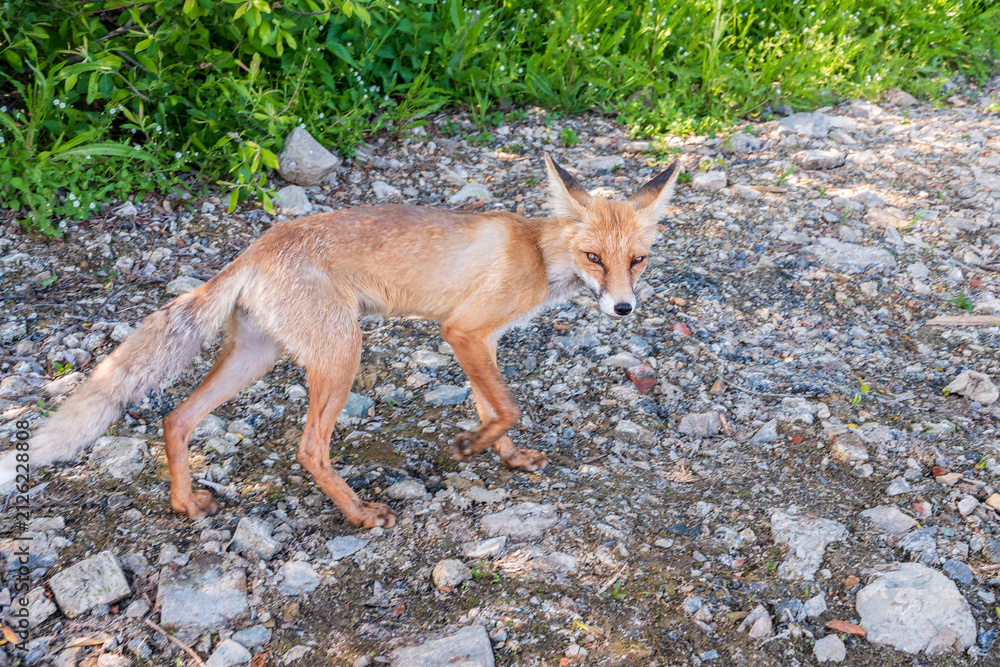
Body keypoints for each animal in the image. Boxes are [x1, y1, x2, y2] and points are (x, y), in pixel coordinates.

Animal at [0, 153, 680, 529]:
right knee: (308, 450)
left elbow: (494, 408)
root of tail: (255, 248)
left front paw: (506, 457)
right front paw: (469, 448)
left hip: (256, 358)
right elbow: (507, 407)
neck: (538, 255)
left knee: (177, 417)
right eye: (594, 258)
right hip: (341, 354)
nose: (623, 308)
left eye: (638, 261)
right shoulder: (462, 331)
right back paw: (358, 514)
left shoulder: (481, 342)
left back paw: (185, 505)